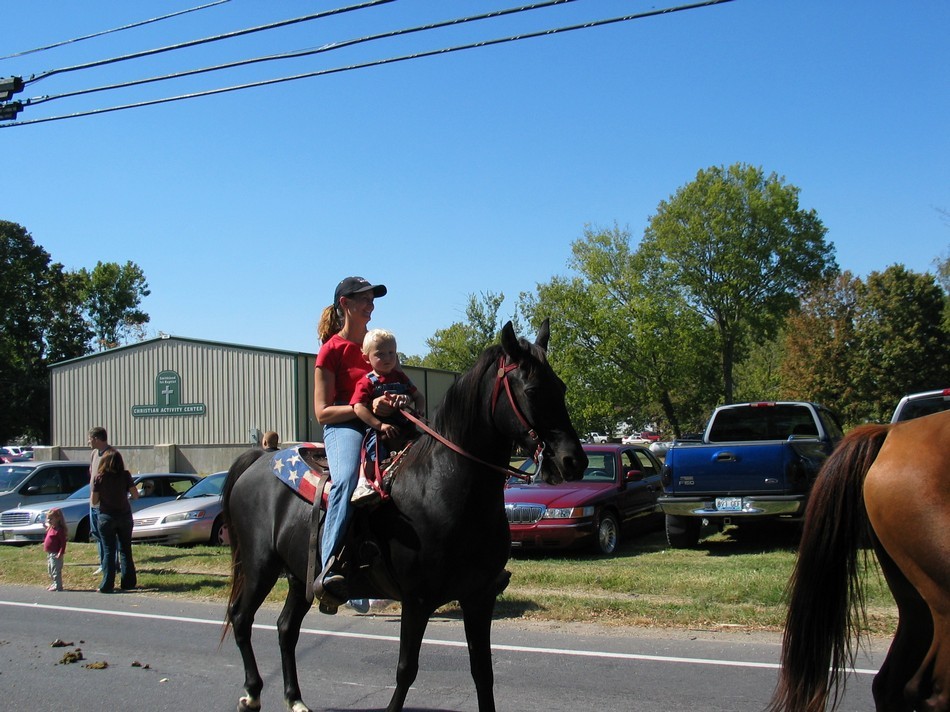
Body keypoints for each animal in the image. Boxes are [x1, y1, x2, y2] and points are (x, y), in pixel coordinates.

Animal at [221, 322, 588, 712]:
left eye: (562, 387)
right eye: (532, 390)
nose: (573, 461)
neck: (443, 486)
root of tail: (259, 459)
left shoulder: (479, 597)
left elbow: (482, 672)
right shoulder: (417, 600)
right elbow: (406, 670)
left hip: (297, 576)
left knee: (286, 629)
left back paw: (294, 699)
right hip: (260, 565)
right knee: (242, 619)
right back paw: (252, 693)